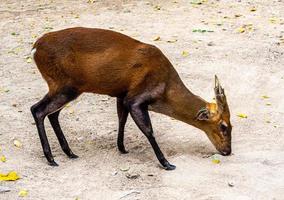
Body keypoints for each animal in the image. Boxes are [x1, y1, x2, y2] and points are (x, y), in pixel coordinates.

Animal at [31, 27, 232, 170]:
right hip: (64, 85)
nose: (228, 151)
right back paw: (51, 158)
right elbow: (149, 130)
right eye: (223, 126)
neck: (165, 89)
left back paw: (69, 152)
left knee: (52, 113)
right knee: (37, 109)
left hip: (66, 88)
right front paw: (166, 163)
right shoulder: (136, 98)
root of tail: (35, 47)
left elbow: (122, 119)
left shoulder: (122, 94)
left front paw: (122, 148)